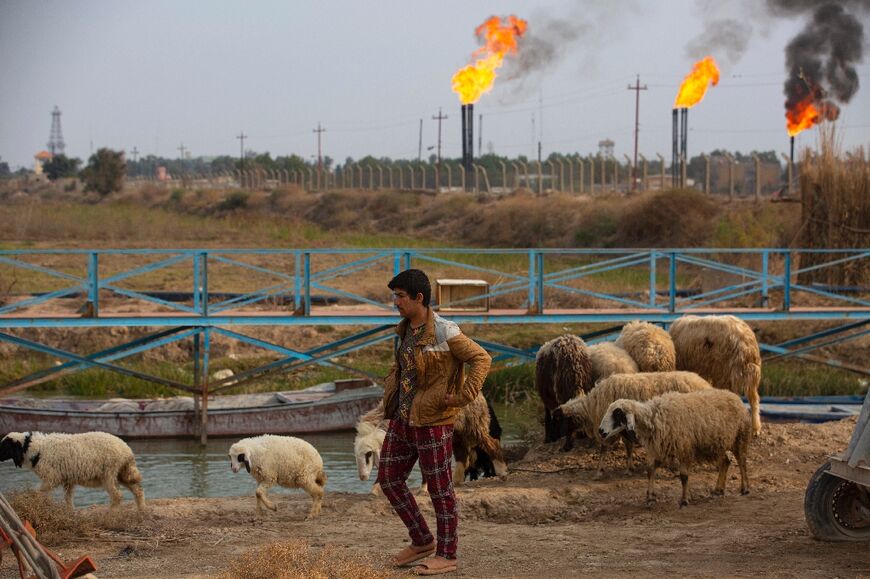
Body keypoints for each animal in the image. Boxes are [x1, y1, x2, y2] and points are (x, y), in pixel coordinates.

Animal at [0, 430, 145, 512]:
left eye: (4, 446)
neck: (35, 449)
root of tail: (127, 451)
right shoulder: (68, 480)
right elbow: (68, 499)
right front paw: (70, 513)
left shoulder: (52, 478)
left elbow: (38, 492)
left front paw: (32, 500)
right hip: (122, 473)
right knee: (138, 491)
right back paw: (141, 511)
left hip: (109, 473)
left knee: (117, 495)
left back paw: (111, 514)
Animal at [556, 372, 712, 476]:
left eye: (563, 421)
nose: (563, 448)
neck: (591, 406)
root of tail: (705, 384)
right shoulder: (622, 429)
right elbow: (628, 447)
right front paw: (629, 467)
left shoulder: (610, 428)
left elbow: (604, 449)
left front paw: (599, 470)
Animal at [604, 390, 752, 508]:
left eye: (617, 414)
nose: (601, 431)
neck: (654, 417)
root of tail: (735, 396)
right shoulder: (659, 449)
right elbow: (650, 471)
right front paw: (650, 497)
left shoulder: (684, 449)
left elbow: (684, 476)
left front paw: (684, 500)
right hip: (716, 445)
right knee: (726, 461)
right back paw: (718, 490)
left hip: (739, 438)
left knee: (742, 462)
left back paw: (745, 488)